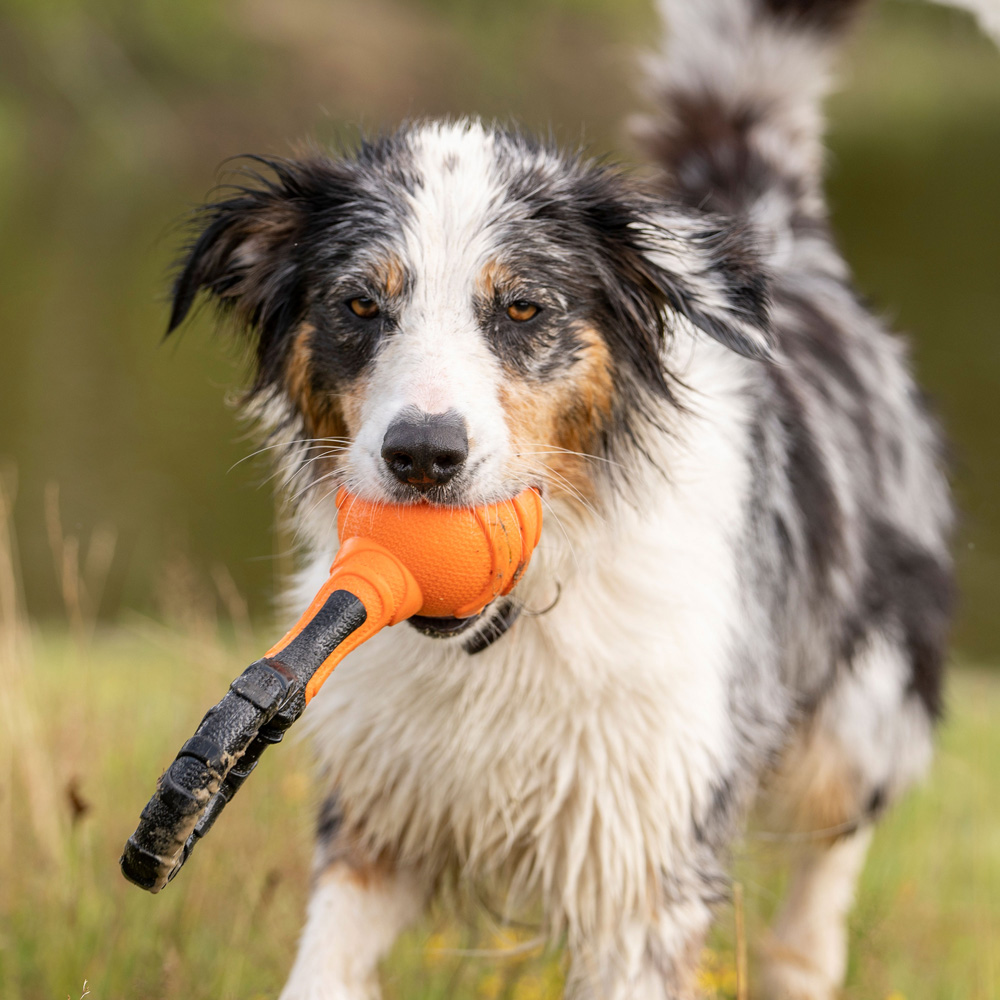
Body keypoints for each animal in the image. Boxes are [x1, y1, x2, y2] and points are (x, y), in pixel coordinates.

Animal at [166, 3, 984, 996]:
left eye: (522, 309)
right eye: (359, 306)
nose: (423, 455)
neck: (512, 627)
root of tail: (776, 237)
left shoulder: (644, 861)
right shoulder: (376, 817)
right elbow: (322, 968)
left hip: (864, 696)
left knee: (833, 839)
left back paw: (801, 956)